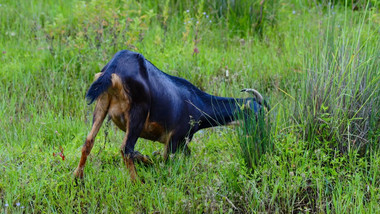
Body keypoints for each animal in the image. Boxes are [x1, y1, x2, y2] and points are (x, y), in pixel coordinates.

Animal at [73, 49, 270, 181]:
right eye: (260, 114)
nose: (264, 137)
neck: (197, 101)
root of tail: (114, 67)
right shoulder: (175, 138)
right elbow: (168, 162)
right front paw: (152, 164)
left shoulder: (182, 141)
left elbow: (187, 157)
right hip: (138, 113)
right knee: (126, 149)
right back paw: (137, 182)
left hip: (101, 104)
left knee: (88, 142)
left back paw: (78, 178)